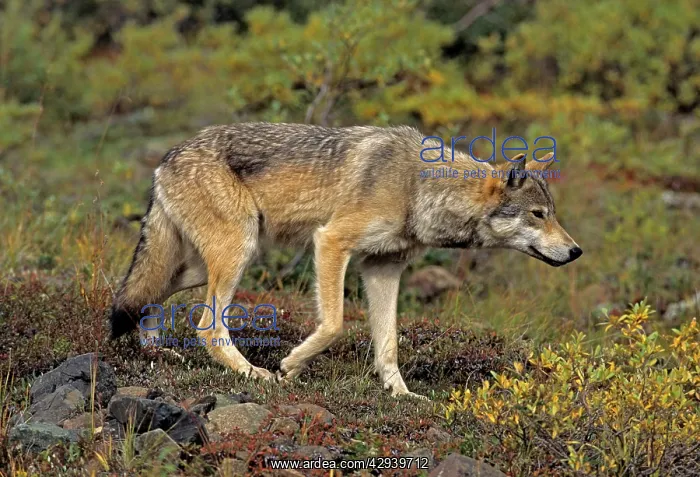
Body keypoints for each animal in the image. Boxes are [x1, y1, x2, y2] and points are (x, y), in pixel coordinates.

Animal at [110, 122, 582, 399]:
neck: (417, 188)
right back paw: (251, 373)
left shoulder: (383, 268)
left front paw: (401, 394)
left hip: (210, 264)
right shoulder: (331, 243)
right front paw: (291, 366)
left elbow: (388, 343)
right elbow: (335, 324)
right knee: (206, 326)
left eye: (553, 213)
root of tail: (166, 158)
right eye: (537, 215)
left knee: (144, 295)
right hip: (236, 255)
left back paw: (154, 351)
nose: (576, 251)